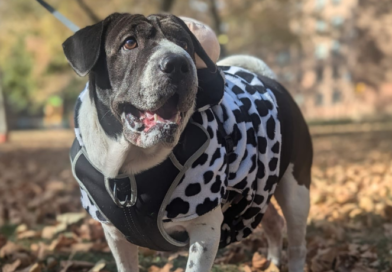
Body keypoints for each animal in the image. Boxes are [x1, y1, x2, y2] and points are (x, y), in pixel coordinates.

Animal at [63, 12, 312, 272]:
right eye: (129, 43)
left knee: (296, 243)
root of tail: (269, 81)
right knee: (273, 222)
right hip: (258, 189)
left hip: (296, 193)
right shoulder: (115, 236)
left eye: (184, 44)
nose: (178, 63)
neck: (133, 163)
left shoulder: (205, 230)